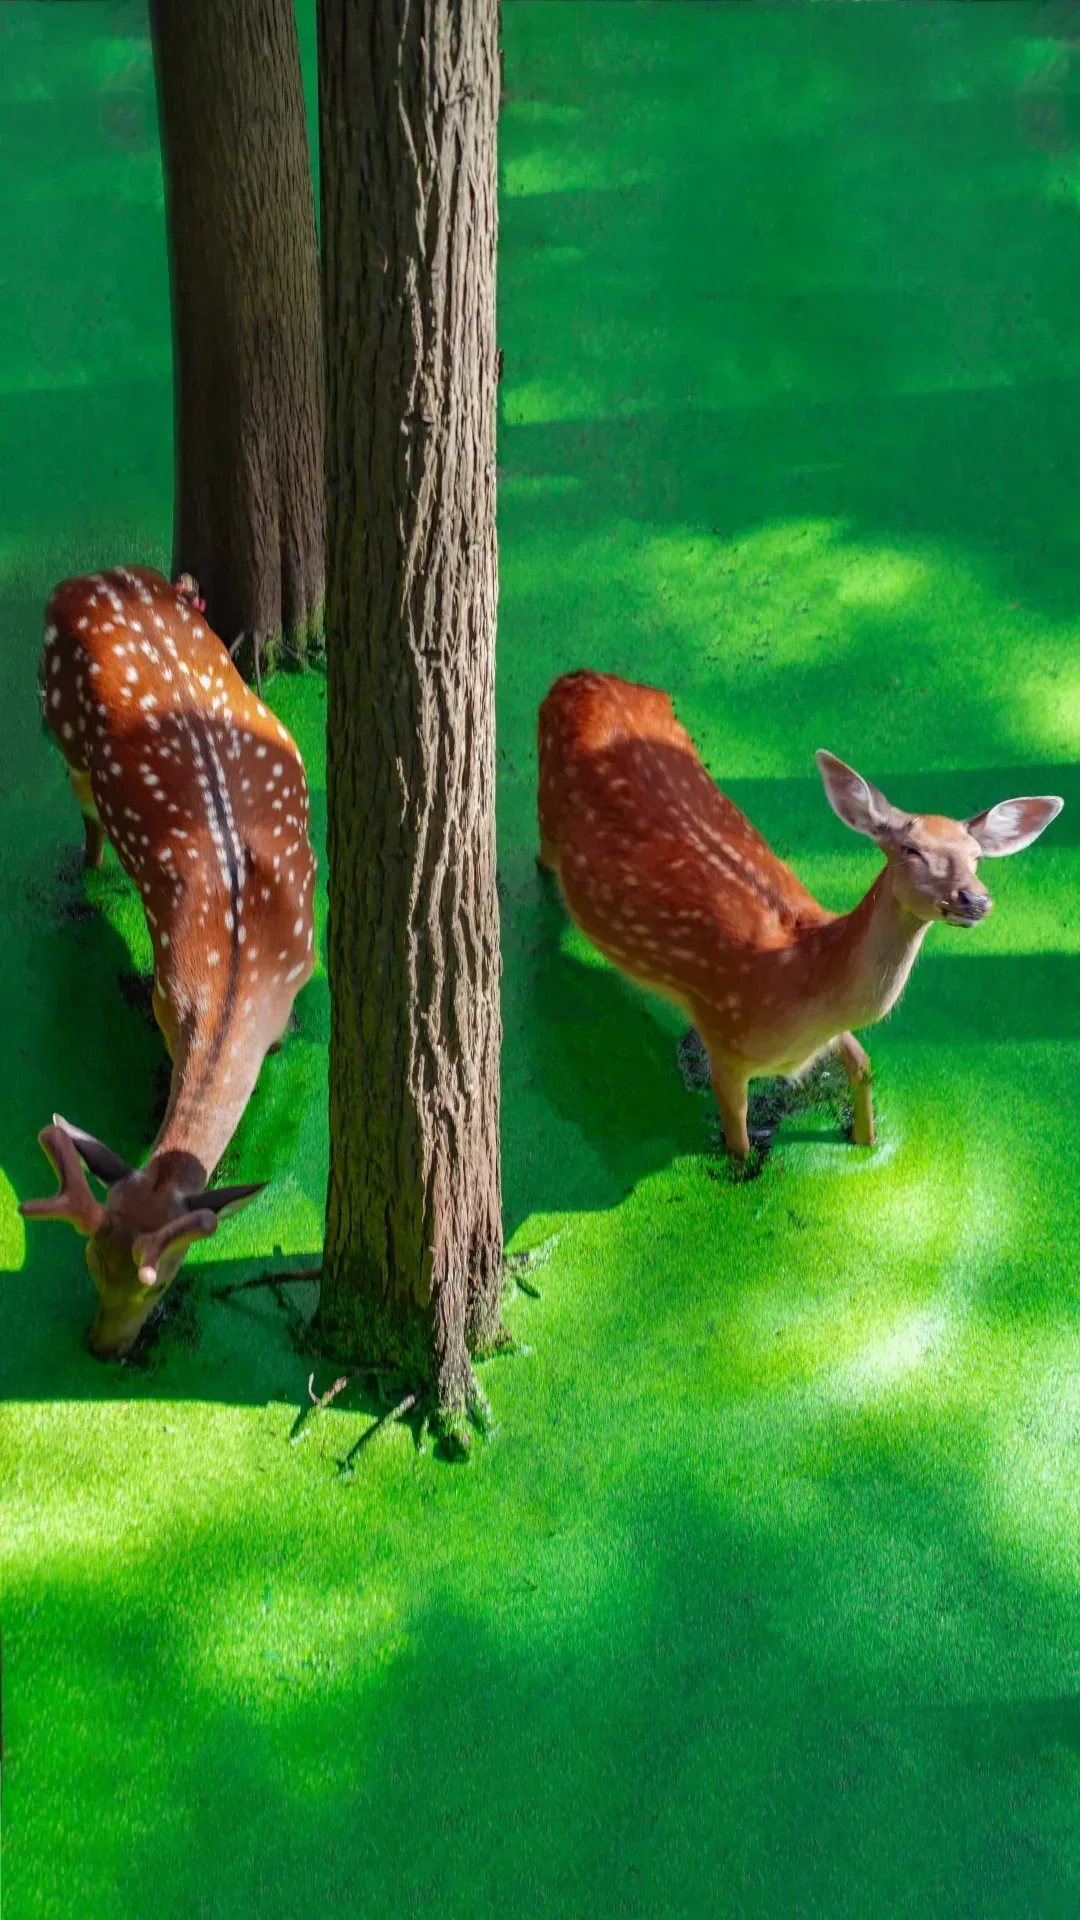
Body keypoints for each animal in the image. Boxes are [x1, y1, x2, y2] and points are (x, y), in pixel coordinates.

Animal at [20, 566, 317, 1357]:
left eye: (163, 1278)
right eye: (90, 1261)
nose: (102, 1346)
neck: (244, 978)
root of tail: (96, 575)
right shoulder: (165, 998)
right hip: (61, 726)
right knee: (85, 809)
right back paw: (93, 873)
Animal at [537, 670, 1062, 1162]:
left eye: (977, 857)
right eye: (910, 849)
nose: (975, 899)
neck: (801, 979)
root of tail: (580, 675)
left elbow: (864, 1068)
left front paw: (864, 1138)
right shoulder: (725, 1042)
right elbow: (739, 1147)